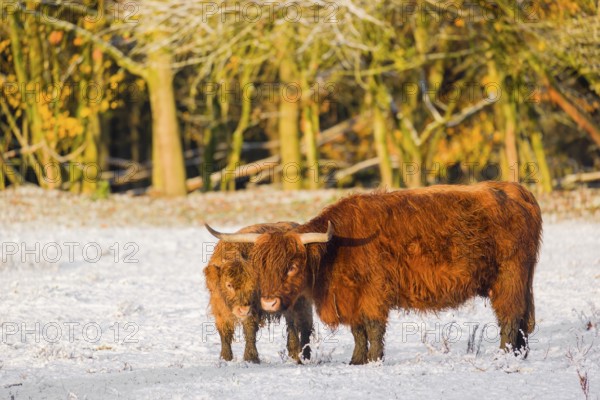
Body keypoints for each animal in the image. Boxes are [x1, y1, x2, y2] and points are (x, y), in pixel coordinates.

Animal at [203, 222, 312, 362]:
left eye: (252, 285)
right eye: (229, 285)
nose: (242, 310)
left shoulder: (253, 308)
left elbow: (250, 329)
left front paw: (251, 358)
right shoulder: (218, 307)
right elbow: (225, 331)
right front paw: (225, 357)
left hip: (301, 303)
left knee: (304, 326)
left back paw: (304, 356)